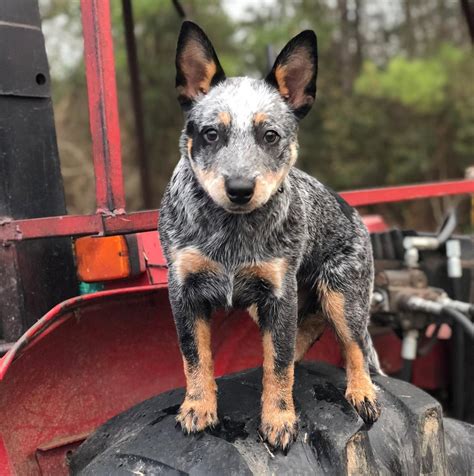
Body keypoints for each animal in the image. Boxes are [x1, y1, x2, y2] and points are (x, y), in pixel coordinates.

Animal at [159, 20, 382, 452]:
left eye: (271, 135)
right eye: (211, 133)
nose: (240, 188)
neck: (231, 233)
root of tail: (355, 214)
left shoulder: (279, 293)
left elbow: (277, 367)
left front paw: (279, 418)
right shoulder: (184, 291)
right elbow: (195, 356)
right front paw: (198, 406)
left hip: (343, 295)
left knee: (355, 344)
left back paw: (362, 391)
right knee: (307, 330)